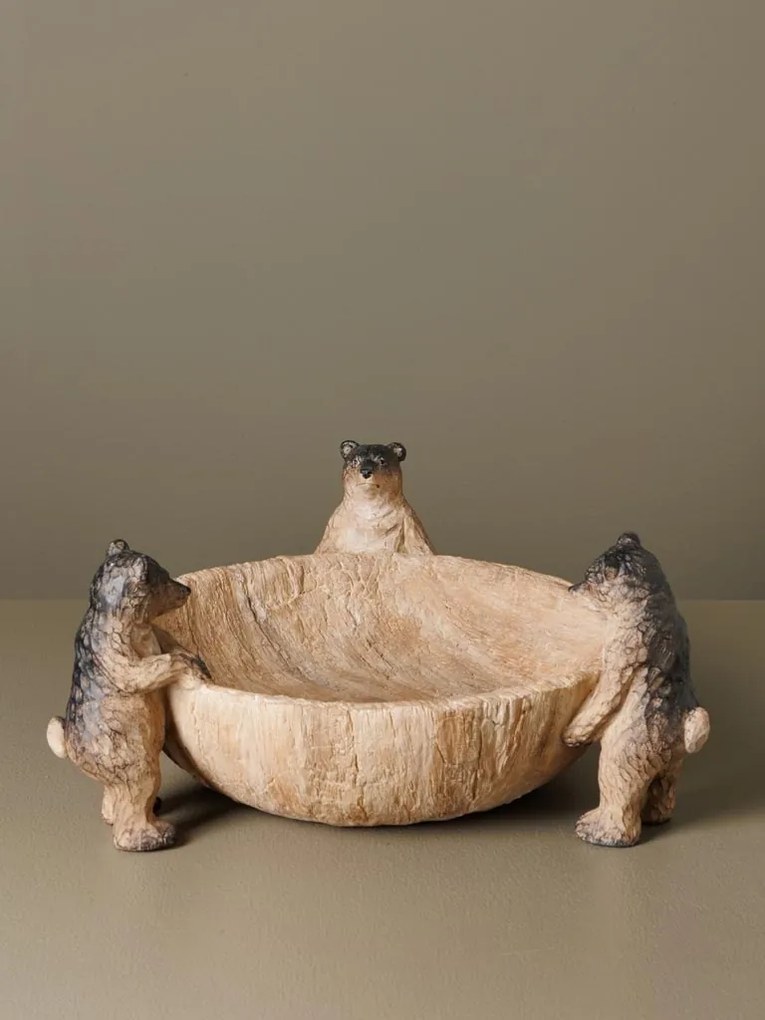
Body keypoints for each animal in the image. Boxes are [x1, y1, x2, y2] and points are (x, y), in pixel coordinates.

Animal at [46, 540, 209, 851]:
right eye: (164, 577)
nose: (186, 589)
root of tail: (70, 747)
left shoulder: (151, 634)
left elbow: (170, 643)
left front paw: (197, 659)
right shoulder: (110, 647)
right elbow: (138, 674)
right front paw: (192, 665)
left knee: (115, 789)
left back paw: (126, 812)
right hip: (120, 748)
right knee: (140, 781)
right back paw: (151, 835)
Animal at [563, 531, 710, 847]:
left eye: (590, 578)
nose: (571, 589)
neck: (651, 602)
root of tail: (682, 733)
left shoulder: (624, 644)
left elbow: (608, 691)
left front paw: (574, 733)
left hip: (626, 752)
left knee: (618, 789)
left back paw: (600, 830)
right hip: (672, 763)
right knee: (664, 786)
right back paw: (656, 817)